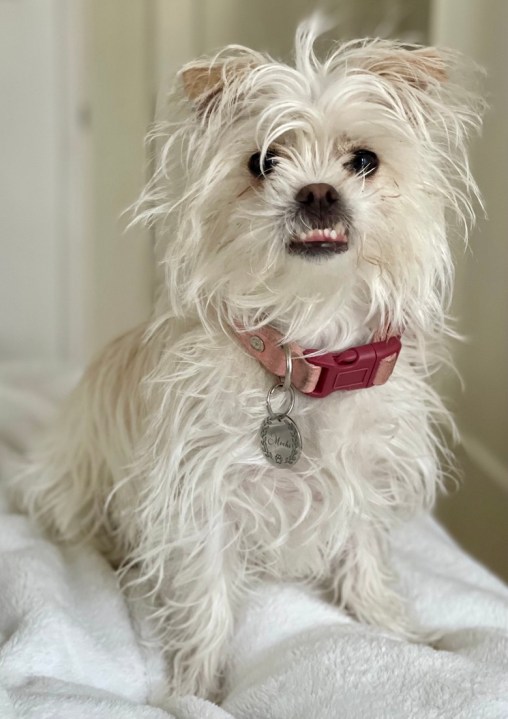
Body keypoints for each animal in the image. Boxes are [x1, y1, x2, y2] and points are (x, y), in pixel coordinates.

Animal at [16, 18, 484, 704]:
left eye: (364, 161)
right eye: (263, 162)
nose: (318, 192)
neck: (305, 351)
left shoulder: (361, 481)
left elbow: (365, 561)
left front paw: (397, 631)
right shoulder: (201, 496)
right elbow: (206, 597)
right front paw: (195, 689)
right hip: (72, 488)